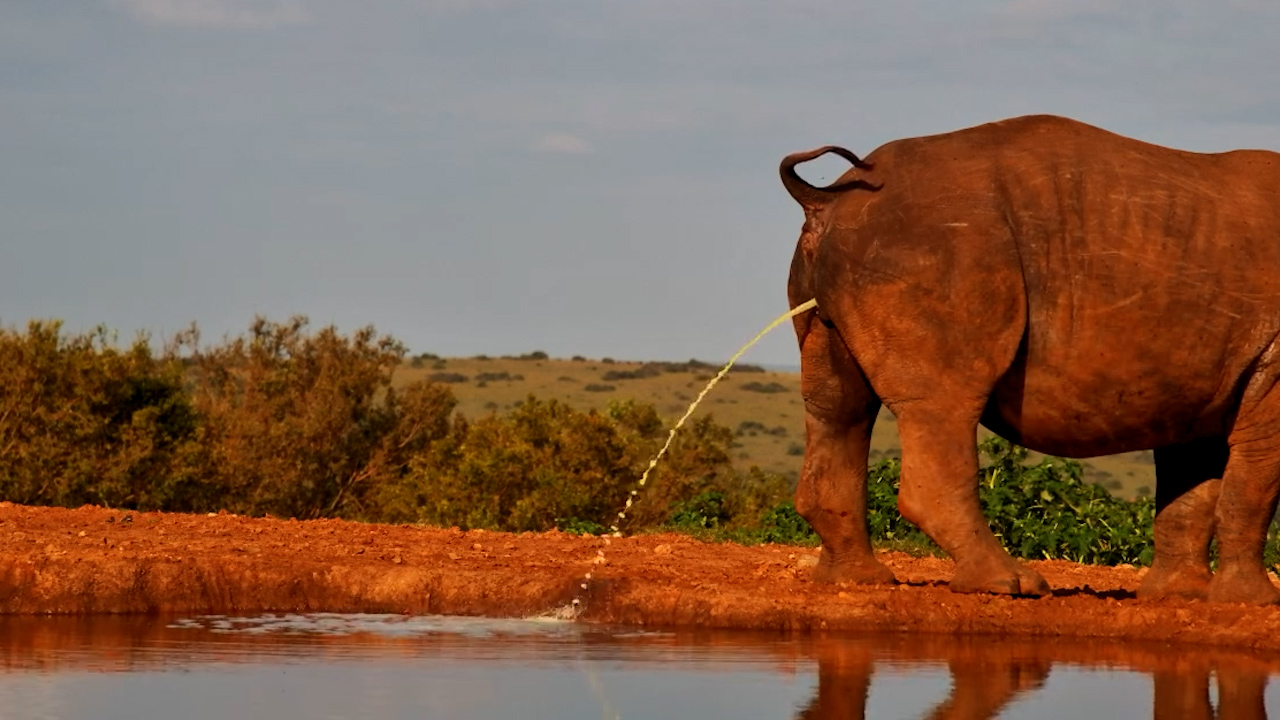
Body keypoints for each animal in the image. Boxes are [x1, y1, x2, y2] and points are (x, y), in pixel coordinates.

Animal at [781, 114, 1280, 604]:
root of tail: (828, 202)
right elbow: (1253, 486)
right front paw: (1251, 602)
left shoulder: (1201, 381)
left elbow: (1193, 490)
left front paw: (1179, 597)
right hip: (937, 247)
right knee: (944, 404)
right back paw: (1010, 585)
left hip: (867, 248)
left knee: (840, 409)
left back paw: (856, 580)